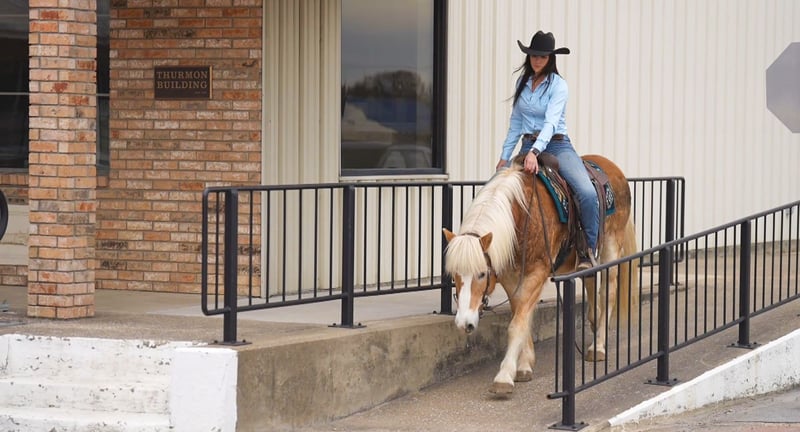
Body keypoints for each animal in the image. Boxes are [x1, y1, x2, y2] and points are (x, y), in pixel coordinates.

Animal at [442, 154, 639, 395]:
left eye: (481, 273)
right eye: (454, 275)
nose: (464, 324)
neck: (521, 214)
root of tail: (610, 166)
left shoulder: (538, 271)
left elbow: (517, 323)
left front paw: (504, 376)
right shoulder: (511, 278)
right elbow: (521, 315)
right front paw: (524, 365)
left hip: (611, 246)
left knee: (607, 293)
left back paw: (598, 347)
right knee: (591, 283)